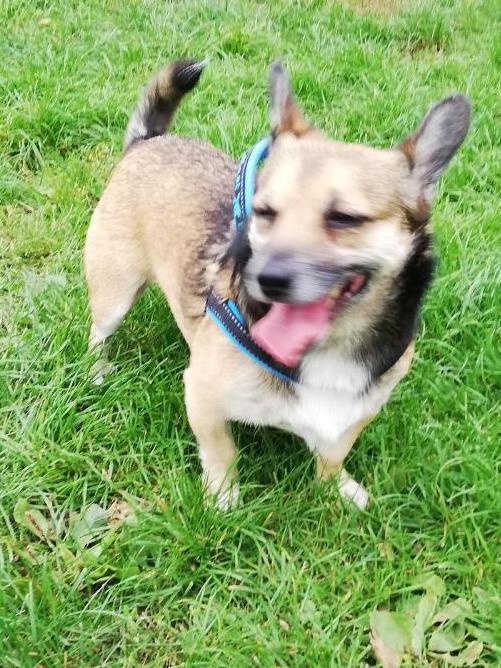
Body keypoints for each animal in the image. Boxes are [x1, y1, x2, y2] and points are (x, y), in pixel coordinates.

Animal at [84, 59, 470, 509]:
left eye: (345, 218)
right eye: (264, 211)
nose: (265, 278)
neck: (329, 348)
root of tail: (149, 142)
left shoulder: (355, 414)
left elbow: (333, 454)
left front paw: (336, 488)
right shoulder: (201, 398)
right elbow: (221, 452)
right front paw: (223, 497)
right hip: (115, 292)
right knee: (99, 331)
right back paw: (96, 369)